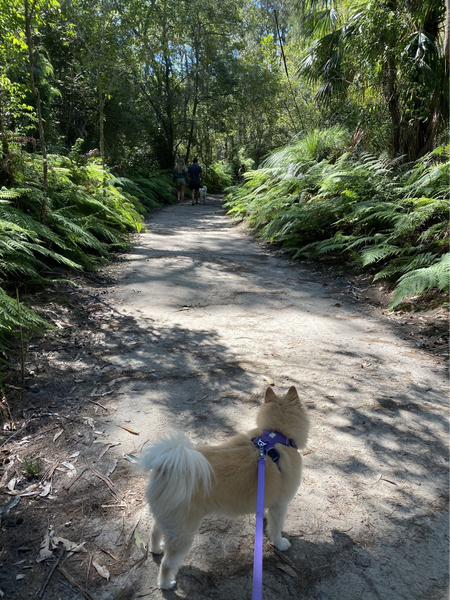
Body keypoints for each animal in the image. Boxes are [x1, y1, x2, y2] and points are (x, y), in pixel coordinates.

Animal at [141, 386, 310, 588]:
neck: (275, 436)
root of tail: (167, 467)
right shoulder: (280, 506)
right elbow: (276, 529)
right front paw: (280, 543)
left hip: (167, 519)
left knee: (154, 531)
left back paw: (156, 549)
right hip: (182, 534)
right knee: (167, 564)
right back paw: (166, 584)